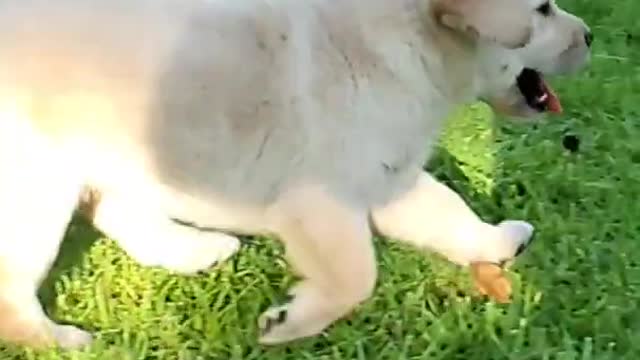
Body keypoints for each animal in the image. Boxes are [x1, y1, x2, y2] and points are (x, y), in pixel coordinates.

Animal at [0, 0, 592, 350]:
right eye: (542, 8)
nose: (588, 34)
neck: (410, 49)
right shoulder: (323, 199)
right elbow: (356, 277)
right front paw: (290, 324)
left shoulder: (387, 177)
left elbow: (446, 211)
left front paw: (496, 241)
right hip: (37, 185)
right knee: (14, 296)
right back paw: (62, 341)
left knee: (118, 209)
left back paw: (197, 249)